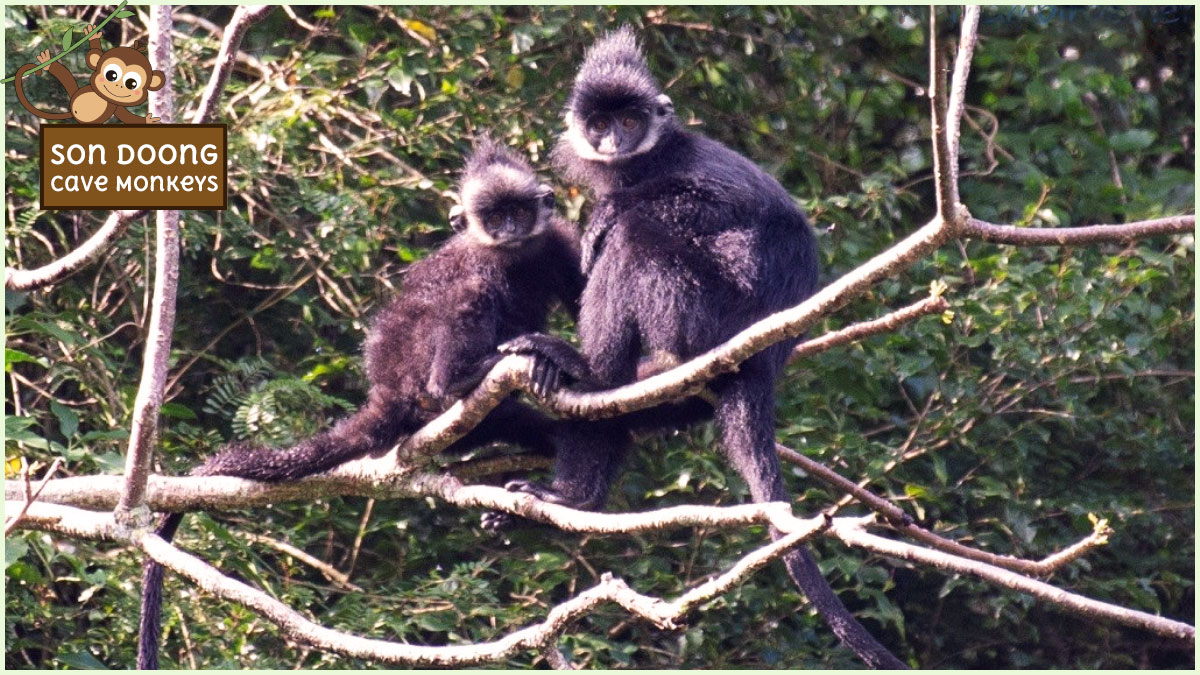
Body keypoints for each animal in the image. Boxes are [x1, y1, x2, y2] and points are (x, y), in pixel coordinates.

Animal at [138, 138, 592, 667]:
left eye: (518, 212)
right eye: (494, 217)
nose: (510, 230)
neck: (514, 258)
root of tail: (387, 394)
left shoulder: (556, 242)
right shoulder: (470, 258)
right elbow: (461, 284)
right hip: (413, 368)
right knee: (465, 296)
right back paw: (457, 380)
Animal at [501, 28, 902, 662]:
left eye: (631, 119)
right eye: (600, 122)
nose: (614, 139)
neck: (646, 160)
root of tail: (766, 361)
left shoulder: (692, 168)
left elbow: (712, 207)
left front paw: (608, 211)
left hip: (706, 312)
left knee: (636, 238)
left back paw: (590, 368)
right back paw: (574, 497)